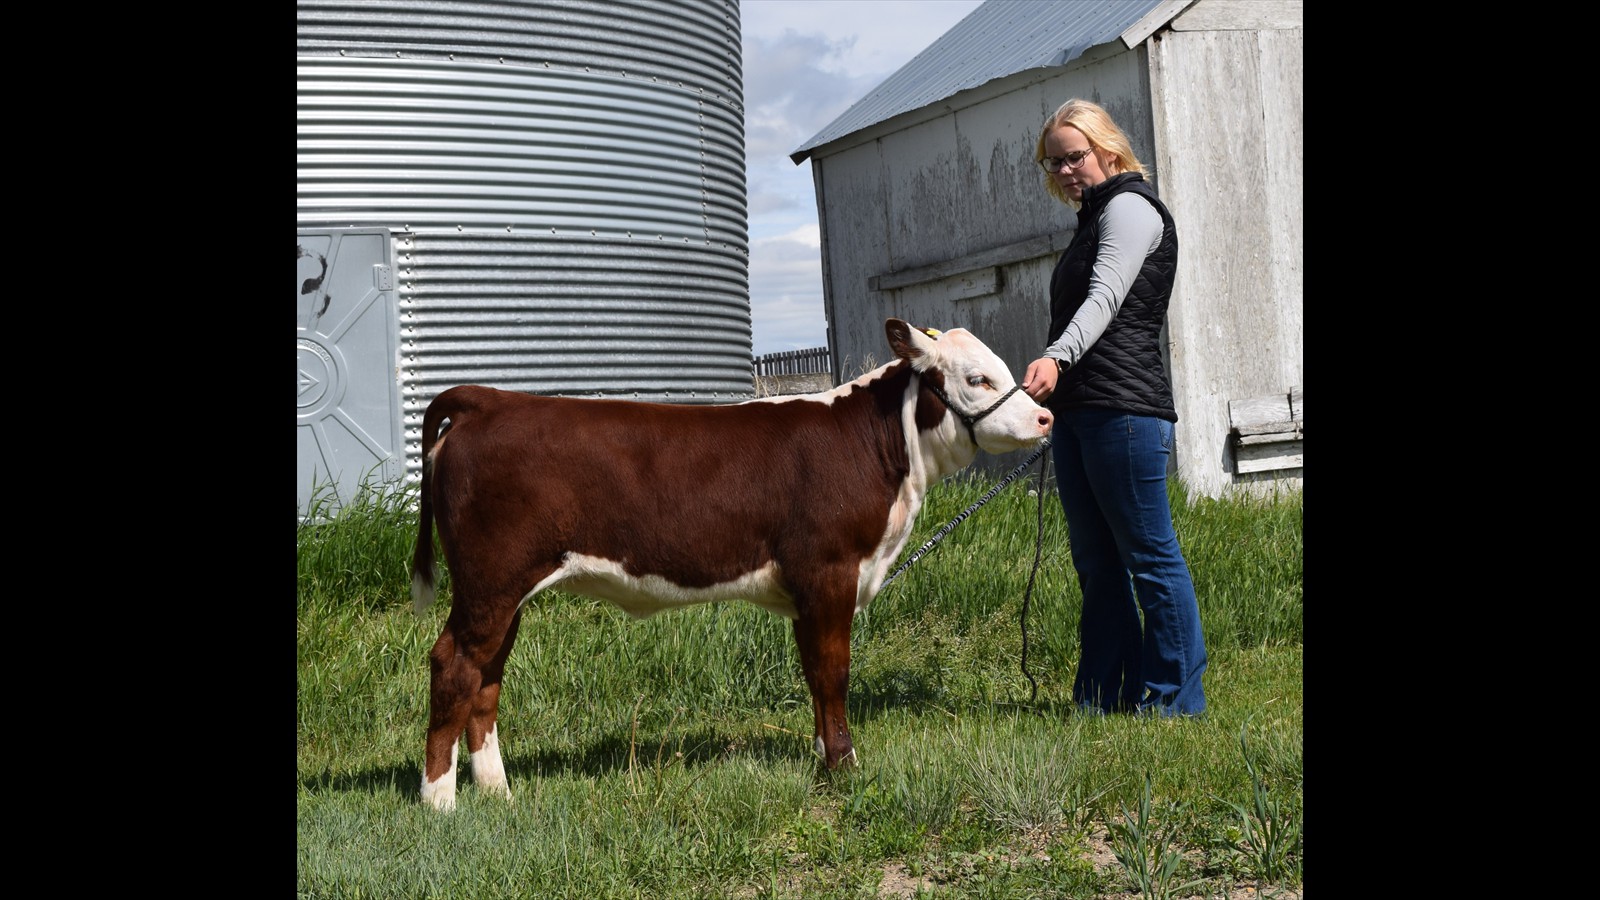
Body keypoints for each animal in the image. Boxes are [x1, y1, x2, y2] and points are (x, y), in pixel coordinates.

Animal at [410, 317, 1053, 811]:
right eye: (977, 378)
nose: (1044, 418)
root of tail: (491, 400)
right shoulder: (830, 571)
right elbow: (833, 672)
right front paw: (844, 769)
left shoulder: (807, 590)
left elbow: (814, 674)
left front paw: (823, 757)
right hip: (490, 583)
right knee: (453, 666)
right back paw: (440, 801)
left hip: (503, 591)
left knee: (487, 676)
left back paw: (498, 792)